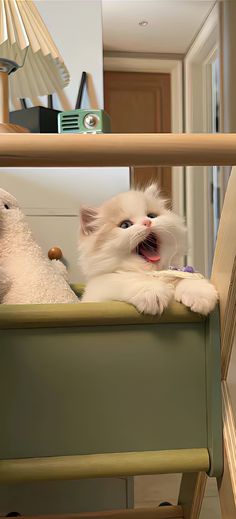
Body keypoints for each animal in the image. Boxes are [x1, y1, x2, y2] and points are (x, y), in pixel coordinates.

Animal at [79, 187, 218, 316]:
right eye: (125, 225)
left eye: (151, 216)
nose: (147, 222)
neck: (153, 272)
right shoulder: (101, 288)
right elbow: (128, 279)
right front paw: (152, 293)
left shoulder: (178, 270)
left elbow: (187, 279)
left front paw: (199, 294)